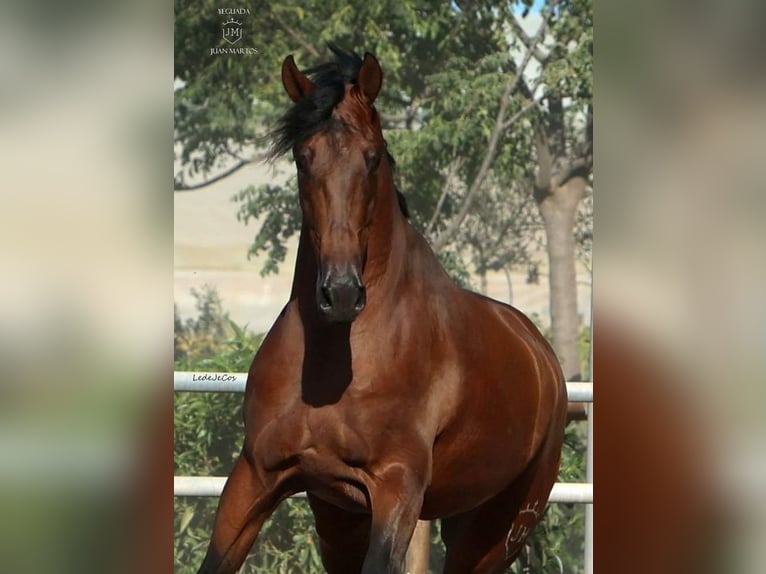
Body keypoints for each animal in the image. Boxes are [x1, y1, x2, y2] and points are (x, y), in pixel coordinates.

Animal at [198, 47, 568, 572]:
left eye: (372, 158)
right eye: (303, 158)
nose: (340, 292)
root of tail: (541, 355)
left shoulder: (395, 490)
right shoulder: (258, 476)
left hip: (503, 528)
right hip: (356, 517)